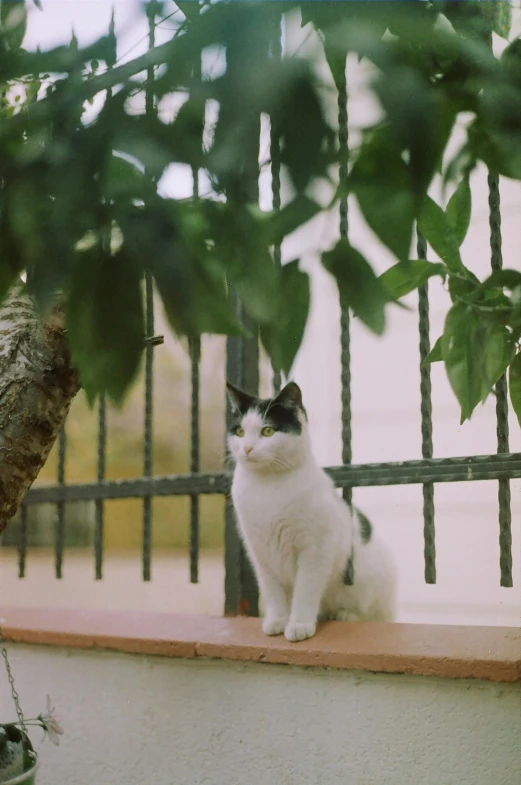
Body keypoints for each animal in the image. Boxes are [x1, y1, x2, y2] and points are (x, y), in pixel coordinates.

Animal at [226, 380, 394, 644]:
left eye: (268, 431)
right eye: (240, 432)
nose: (247, 449)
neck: (267, 485)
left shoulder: (315, 550)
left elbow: (305, 590)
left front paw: (299, 625)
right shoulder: (260, 553)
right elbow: (272, 591)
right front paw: (277, 620)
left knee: (370, 615)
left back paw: (345, 615)